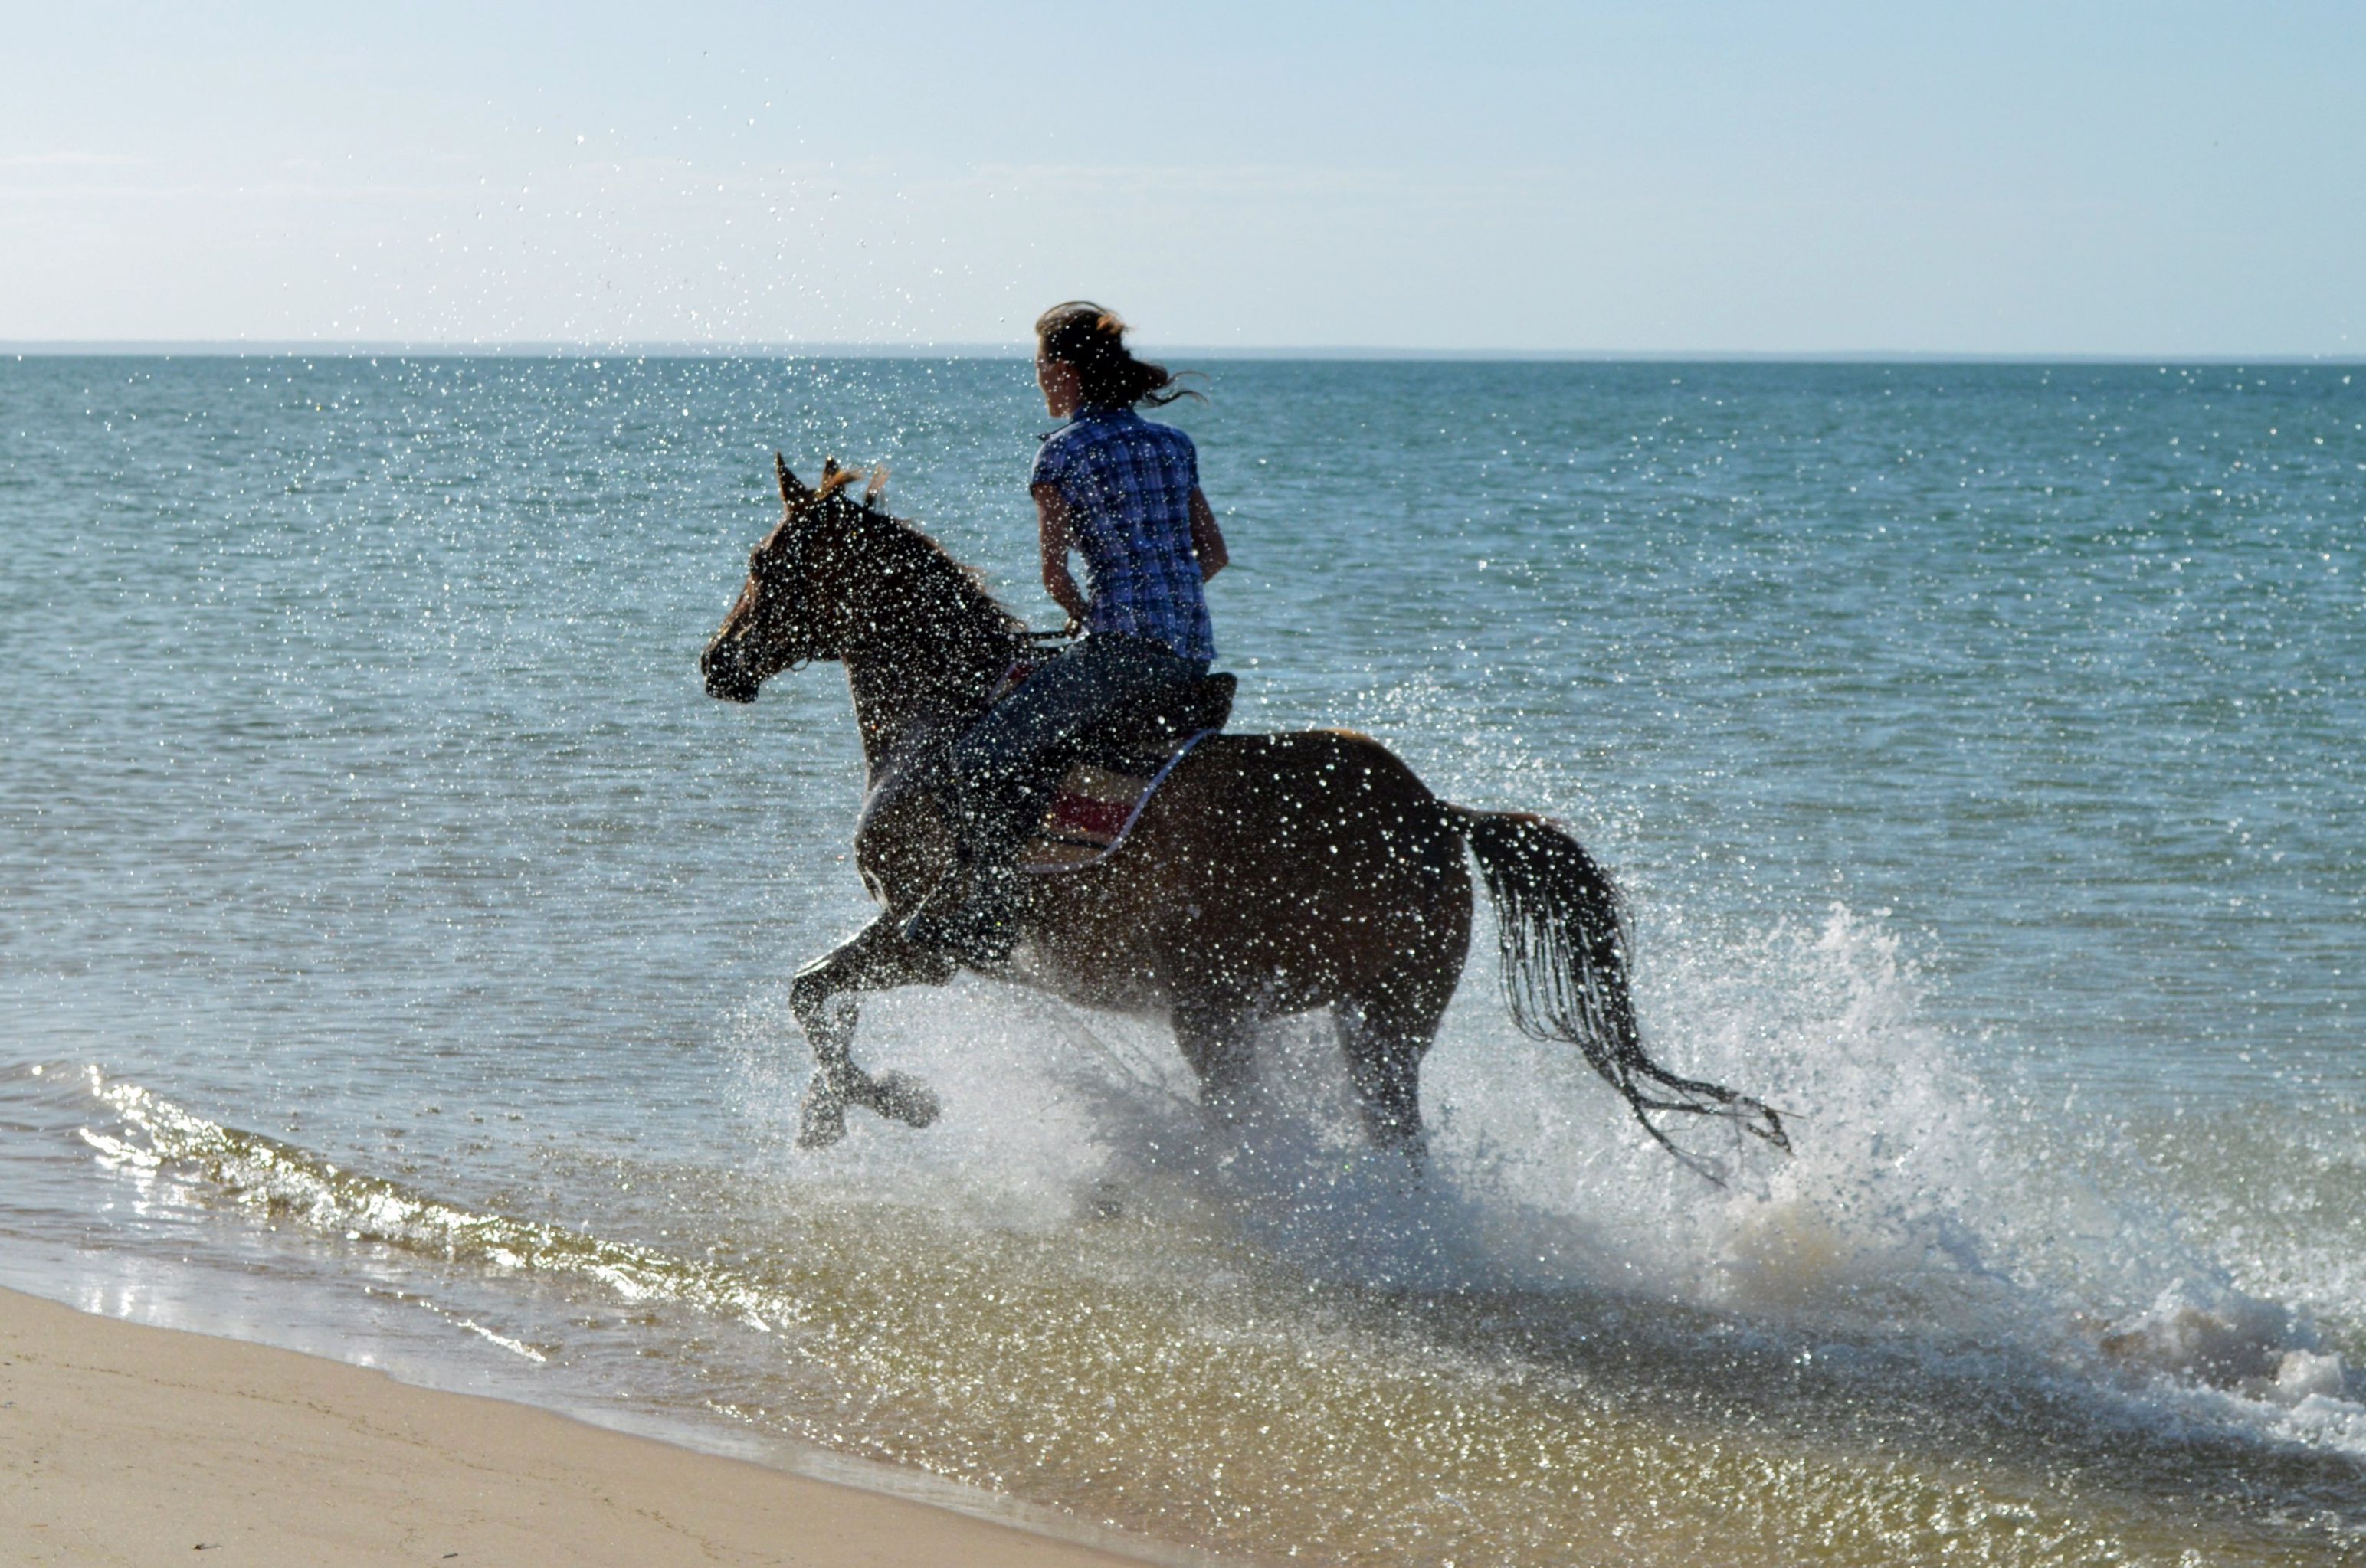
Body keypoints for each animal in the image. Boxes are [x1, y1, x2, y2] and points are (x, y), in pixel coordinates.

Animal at [700, 453, 1788, 1177]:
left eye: (764, 560)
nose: (715, 662)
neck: (948, 712)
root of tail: (1441, 820)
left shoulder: (936, 935)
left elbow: (812, 993)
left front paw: (888, 1102)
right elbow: (821, 997)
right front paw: (835, 1108)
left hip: (1303, 1019)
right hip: (1309, 1016)